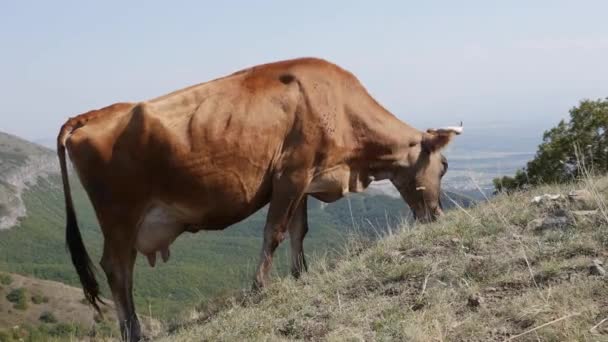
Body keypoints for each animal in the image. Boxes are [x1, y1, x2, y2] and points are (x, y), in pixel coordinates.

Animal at [58, 57, 460, 340]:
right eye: (443, 166)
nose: (438, 215)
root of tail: (90, 115)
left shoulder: (306, 177)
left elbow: (299, 231)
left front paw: (300, 274)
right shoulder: (289, 174)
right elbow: (275, 231)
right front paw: (260, 287)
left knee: (120, 269)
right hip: (119, 216)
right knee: (117, 269)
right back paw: (133, 331)